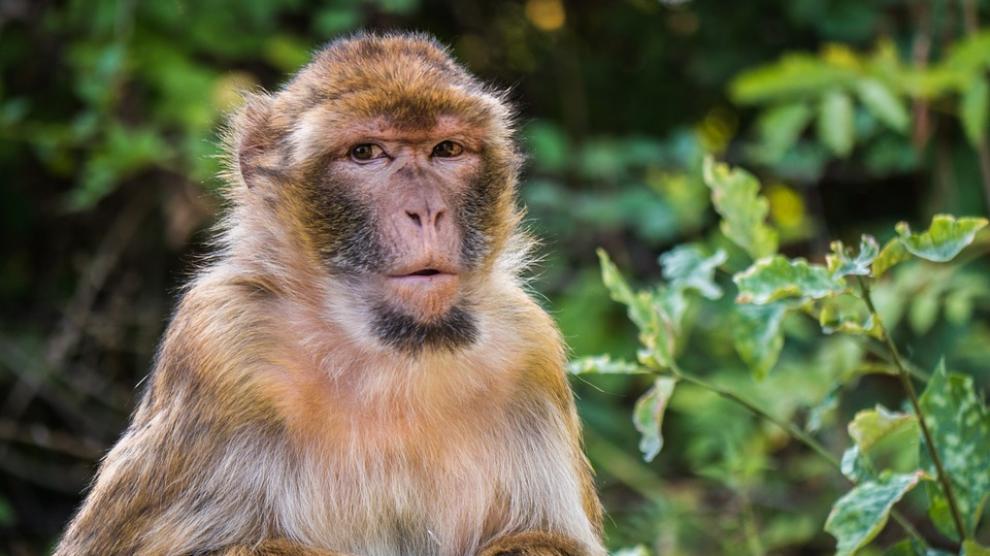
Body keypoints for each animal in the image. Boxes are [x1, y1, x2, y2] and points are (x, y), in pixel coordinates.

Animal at [58, 32, 608, 552]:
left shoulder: (530, 352)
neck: (391, 350)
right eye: (366, 153)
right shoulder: (220, 339)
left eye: (447, 150)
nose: (427, 211)